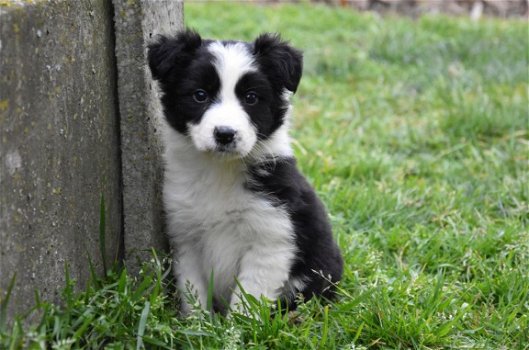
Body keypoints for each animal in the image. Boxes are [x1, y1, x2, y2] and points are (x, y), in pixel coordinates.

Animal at [146, 30, 342, 314]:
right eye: (200, 95)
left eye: (251, 98)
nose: (225, 134)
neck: (220, 170)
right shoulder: (186, 238)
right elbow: (194, 291)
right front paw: (199, 322)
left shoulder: (270, 240)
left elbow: (248, 297)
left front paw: (237, 326)